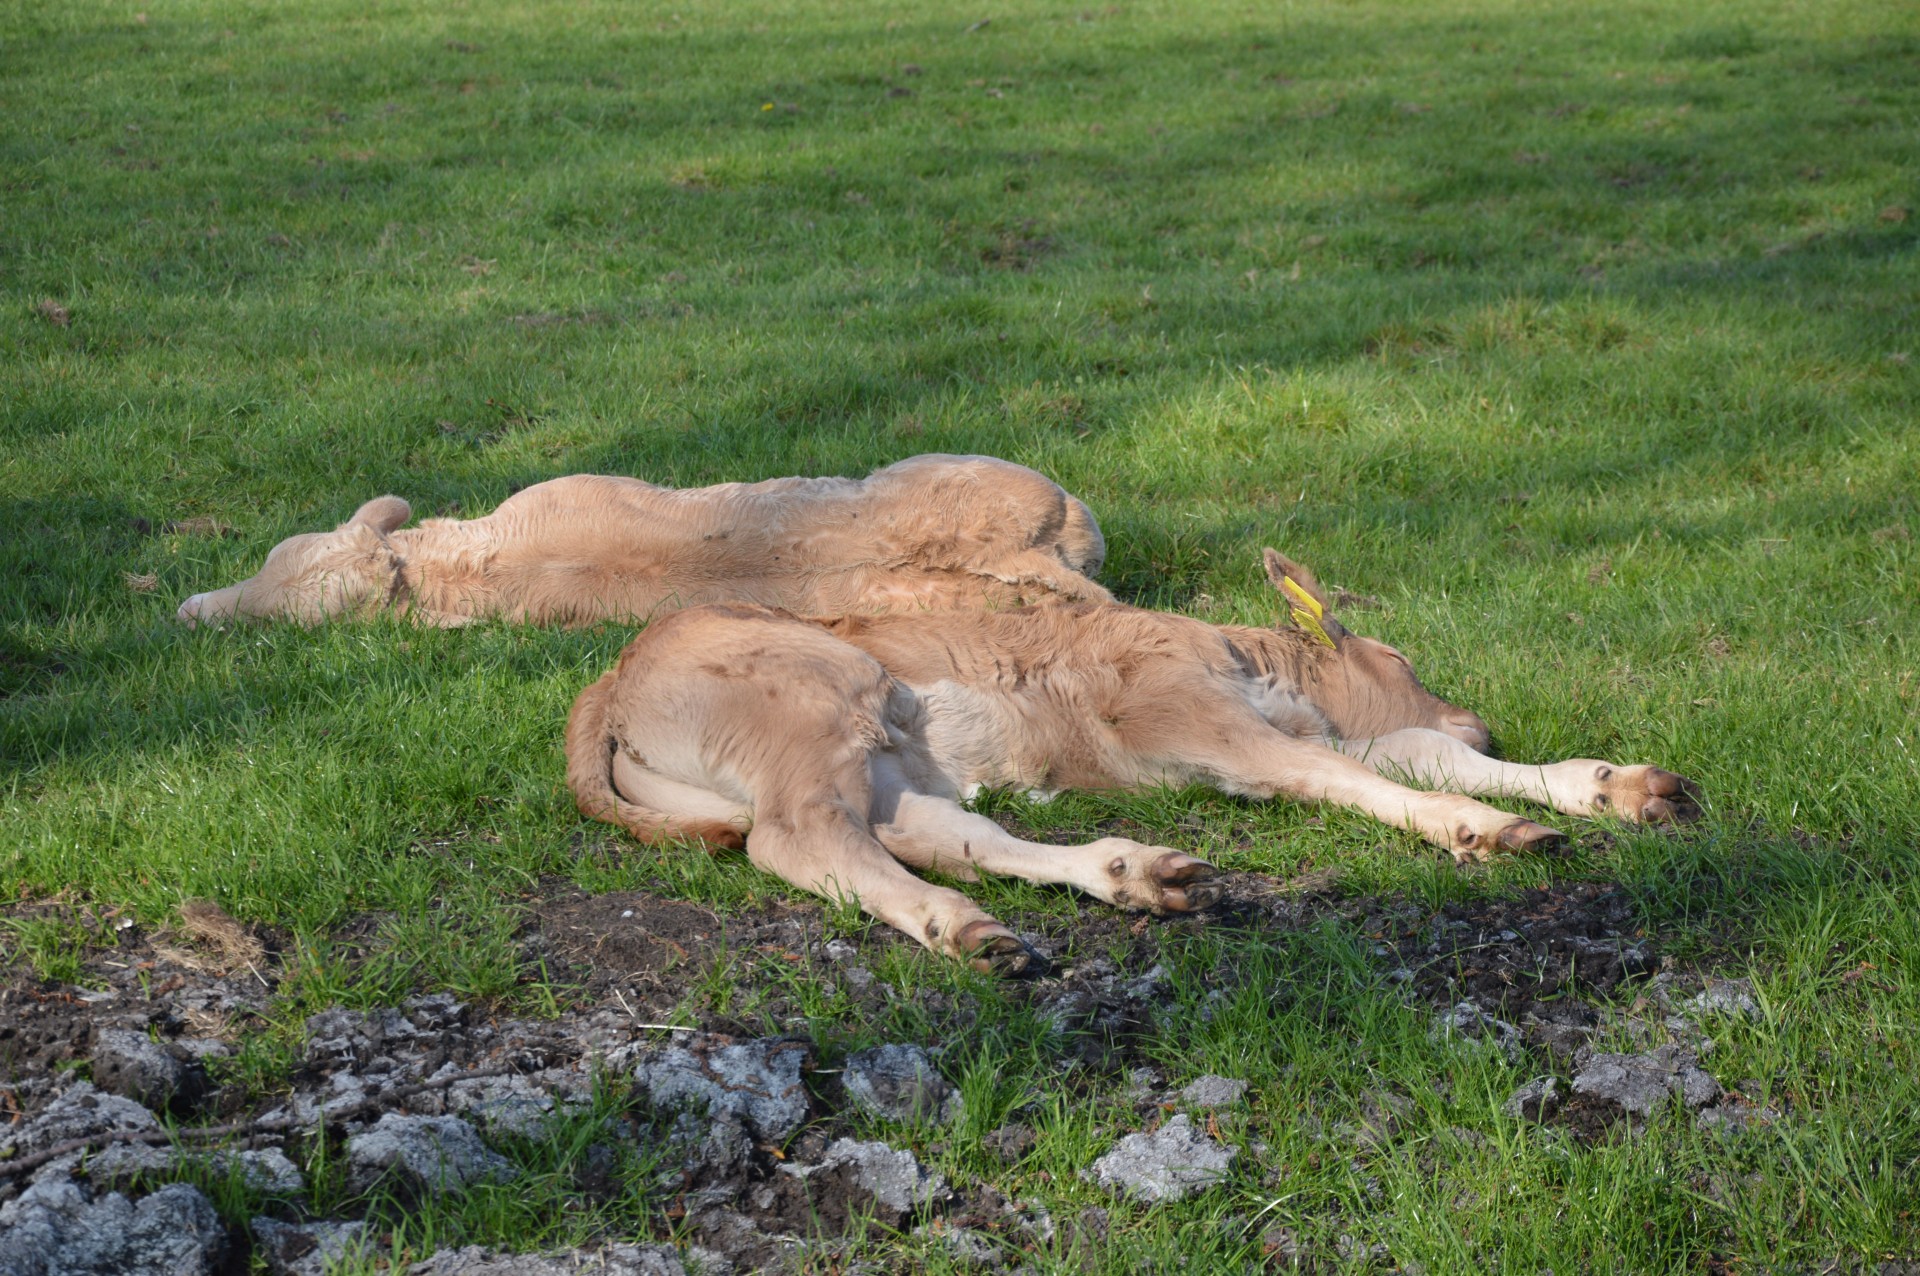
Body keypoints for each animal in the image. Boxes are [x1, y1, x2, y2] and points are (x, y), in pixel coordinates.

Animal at [564, 541, 1697, 970]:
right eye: (1404, 654)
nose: (1482, 721)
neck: (1255, 667)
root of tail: (608, 678)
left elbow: (1415, 754)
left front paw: (1612, 787)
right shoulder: (1195, 720)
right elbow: (1347, 776)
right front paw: (1479, 827)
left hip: (892, 760)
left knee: (944, 833)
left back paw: (1124, 878)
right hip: (817, 698)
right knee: (797, 838)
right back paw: (961, 927)